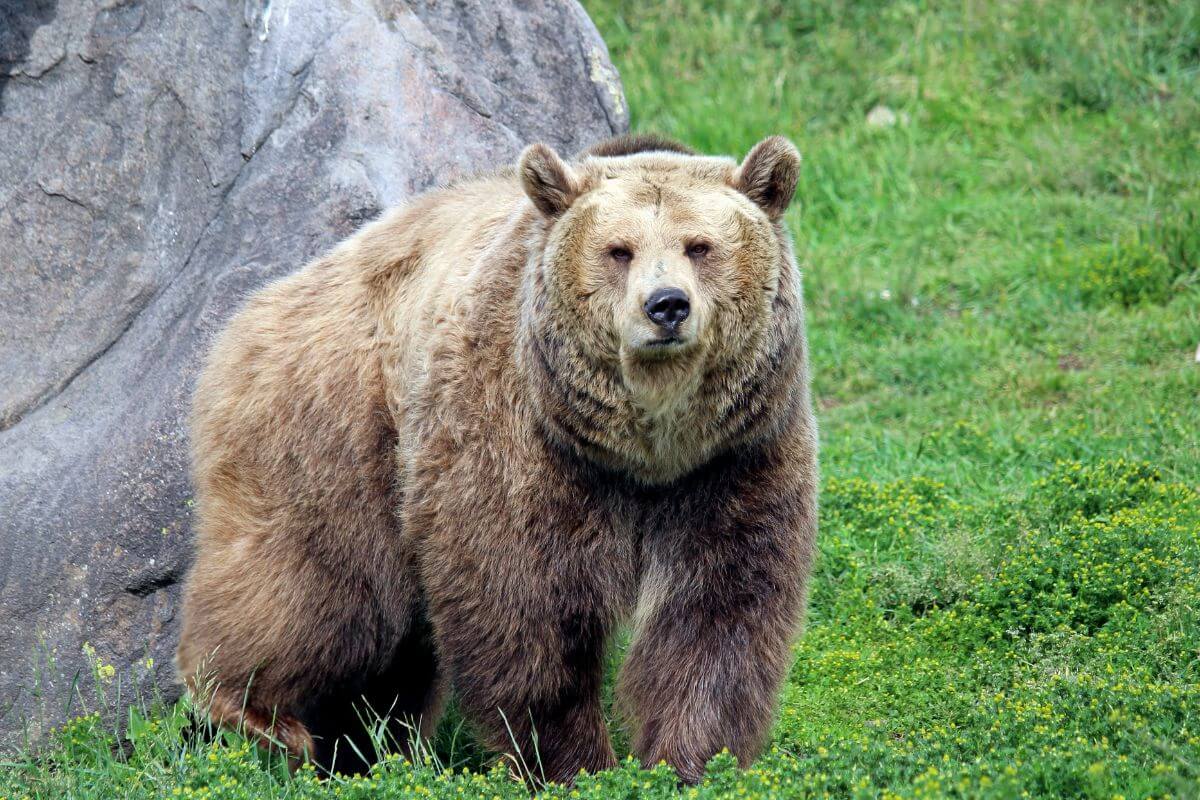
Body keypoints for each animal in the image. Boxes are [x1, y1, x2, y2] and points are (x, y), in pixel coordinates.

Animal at [175, 132, 819, 784]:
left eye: (700, 246)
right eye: (619, 250)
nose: (667, 305)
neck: (646, 451)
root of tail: (261, 303)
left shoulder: (735, 460)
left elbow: (719, 614)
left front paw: (690, 762)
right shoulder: (520, 440)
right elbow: (522, 604)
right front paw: (569, 763)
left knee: (392, 650)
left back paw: (363, 747)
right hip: (338, 426)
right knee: (321, 589)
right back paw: (255, 713)